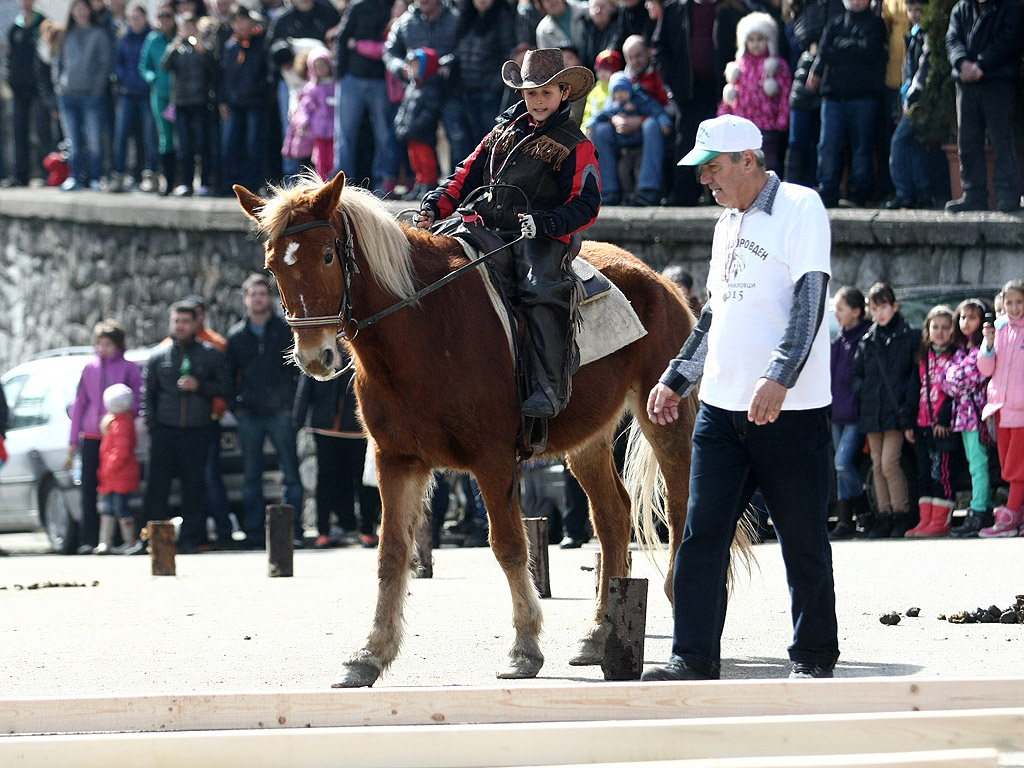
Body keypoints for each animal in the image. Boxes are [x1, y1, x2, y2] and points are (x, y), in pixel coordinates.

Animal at [234, 174, 696, 692]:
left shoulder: (492, 459)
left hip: (666, 416)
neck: (423, 326)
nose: (315, 356)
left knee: (681, 505)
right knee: (613, 517)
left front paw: (524, 648)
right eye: (273, 265)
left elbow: (509, 546)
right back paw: (598, 635)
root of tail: (659, 280)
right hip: (588, 441)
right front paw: (370, 654)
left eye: (329, 255)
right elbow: (392, 553)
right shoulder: (396, 460)